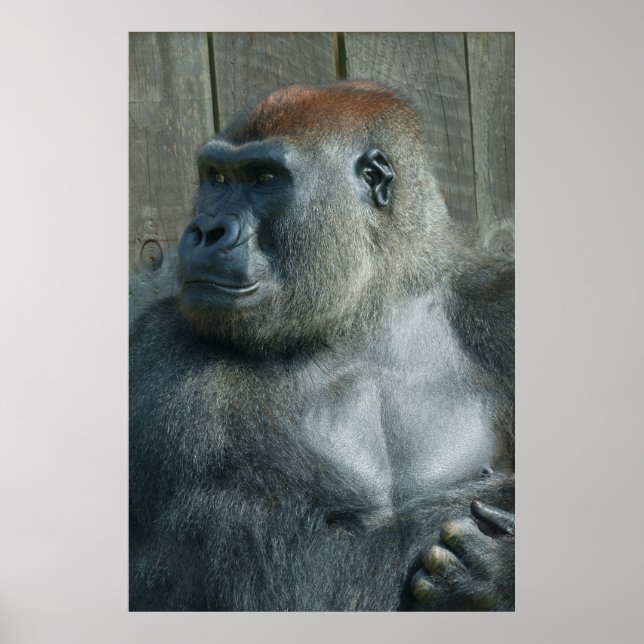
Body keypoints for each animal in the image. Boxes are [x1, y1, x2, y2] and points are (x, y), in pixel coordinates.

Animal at [129, 81, 514, 611]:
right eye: (216, 178)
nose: (206, 229)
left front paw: (499, 568)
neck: (366, 311)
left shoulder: (501, 305)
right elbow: (277, 577)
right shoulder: (160, 356)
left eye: (264, 177)